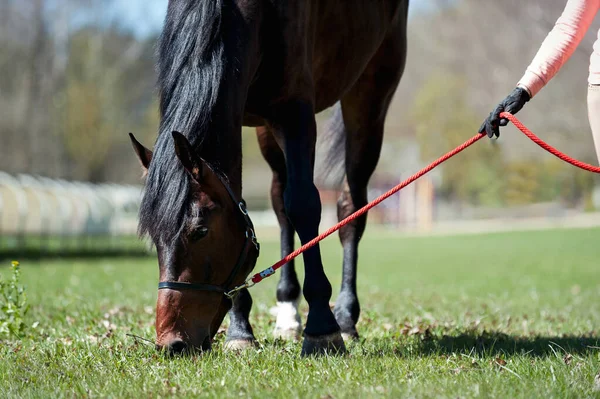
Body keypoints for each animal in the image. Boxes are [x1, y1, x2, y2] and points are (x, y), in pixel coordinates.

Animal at [129, 0, 410, 356]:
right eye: (154, 237)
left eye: (200, 231)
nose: (172, 342)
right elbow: (250, 205)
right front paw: (240, 331)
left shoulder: (295, 113)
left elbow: (304, 205)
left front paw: (323, 328)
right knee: (280, 201)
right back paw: (287, 312)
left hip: (369, 94)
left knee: (351, 206)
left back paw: (346, 318)